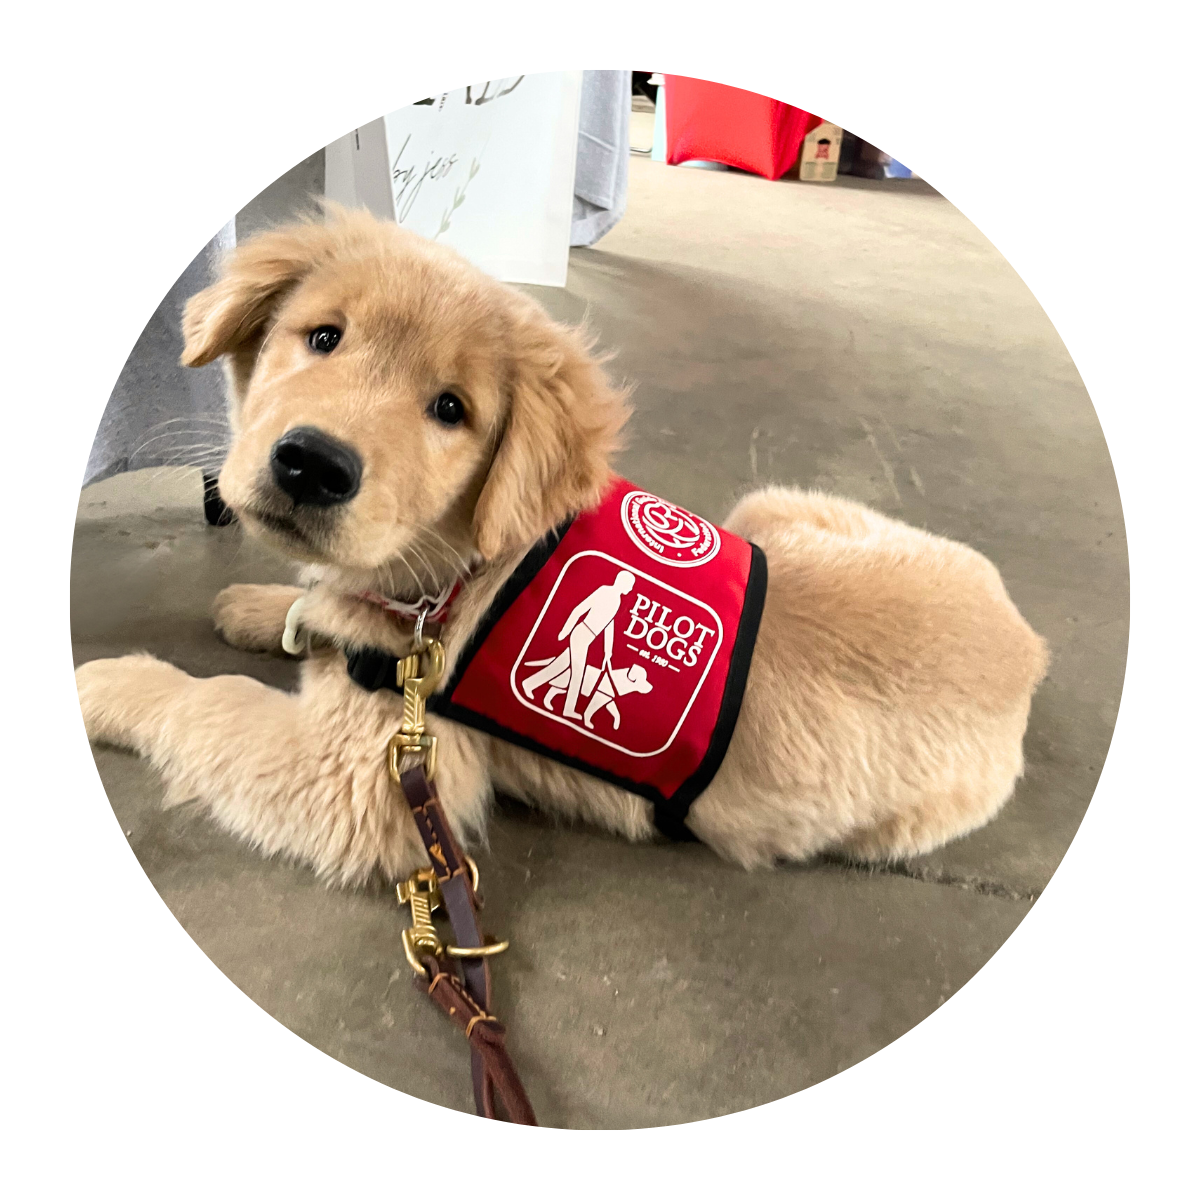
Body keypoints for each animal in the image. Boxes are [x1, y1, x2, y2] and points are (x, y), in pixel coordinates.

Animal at [77, 204, 1051, 892]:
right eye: (323, 336)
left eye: (451, 410)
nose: (312, 464)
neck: (453, 571)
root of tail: (1027, 648)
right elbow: (314, 608)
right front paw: (267, 607)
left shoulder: (365, 780)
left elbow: (205, 701)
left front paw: (109, 686)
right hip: (773, 507)